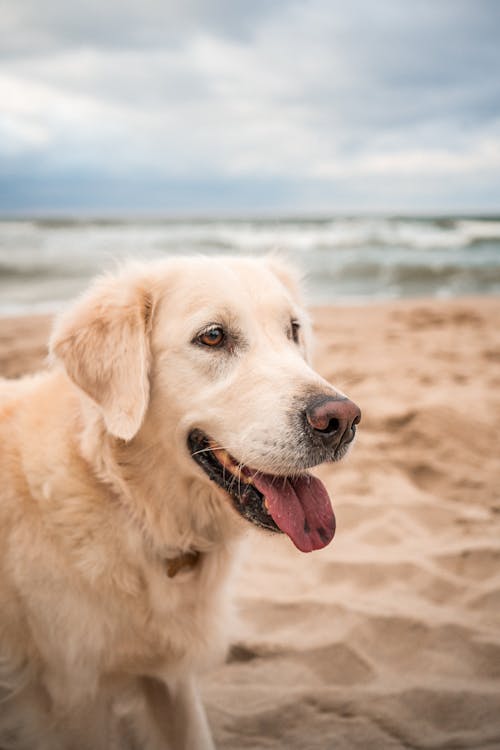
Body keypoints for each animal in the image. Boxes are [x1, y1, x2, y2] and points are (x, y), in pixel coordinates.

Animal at [0, 256, 360, 748]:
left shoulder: (169, 677)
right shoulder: (74, 697)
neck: (135, 507)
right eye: (212, 336)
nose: (342, 421)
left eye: (293, 330)